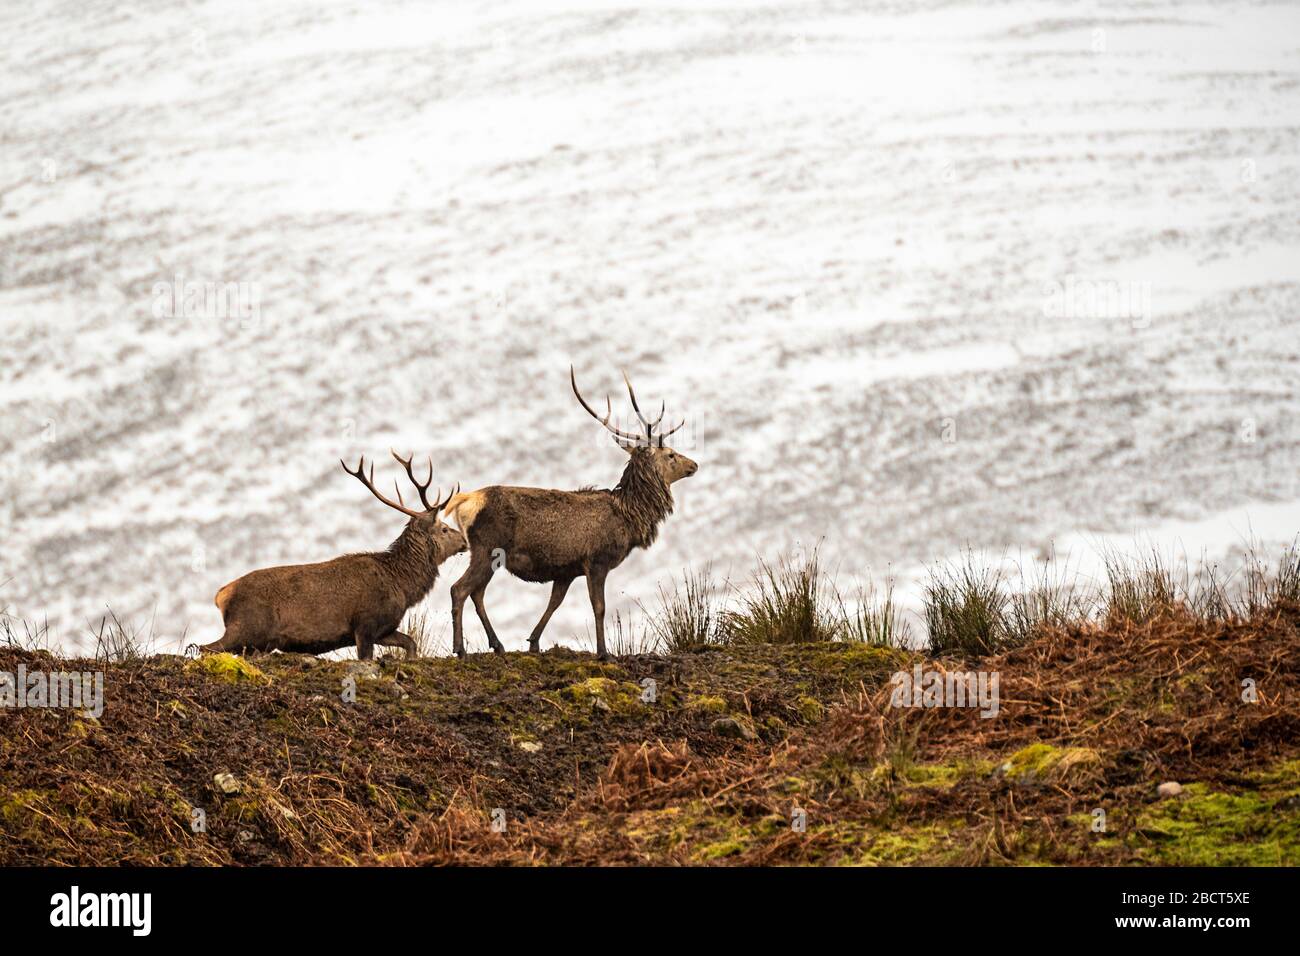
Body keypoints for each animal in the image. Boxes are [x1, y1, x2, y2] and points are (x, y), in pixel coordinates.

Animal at [199, 452, 468, 660]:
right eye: (444, 529)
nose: (465, 541)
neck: (402, 586)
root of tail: (221, 595)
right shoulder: (365, 623)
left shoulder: (385, 629)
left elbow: (411, 643)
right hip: (245, 628)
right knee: (204, 648)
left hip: (259, 643)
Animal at [441, 367, 697, 660]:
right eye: (670, 454)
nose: (694, 464)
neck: (629, 516)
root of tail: (464, 501)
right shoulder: (596, 560)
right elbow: (599, 607)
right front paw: (603, 652)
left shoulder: (565, 570)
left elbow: (554, 603)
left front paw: (533, 642)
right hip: (487, 547)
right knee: (460, 589)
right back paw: (460, 648)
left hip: (487, 554)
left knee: (477, 593)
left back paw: (498, 644)